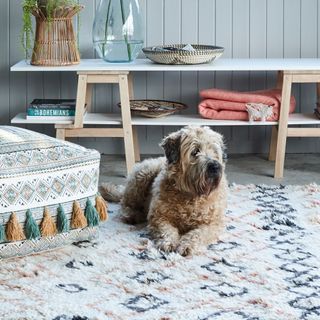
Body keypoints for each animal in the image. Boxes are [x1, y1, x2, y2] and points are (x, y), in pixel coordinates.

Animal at [100, 126, 228, 256]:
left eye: (215, 151)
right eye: (195, 151)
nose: (215, 166)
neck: (191, 195)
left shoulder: (213, 223)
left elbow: (198, 234)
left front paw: (187, 245)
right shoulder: (159, 217)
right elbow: (166, 230)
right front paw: (168, 243)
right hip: (142, 176)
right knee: (125, 203)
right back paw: (131, 215)